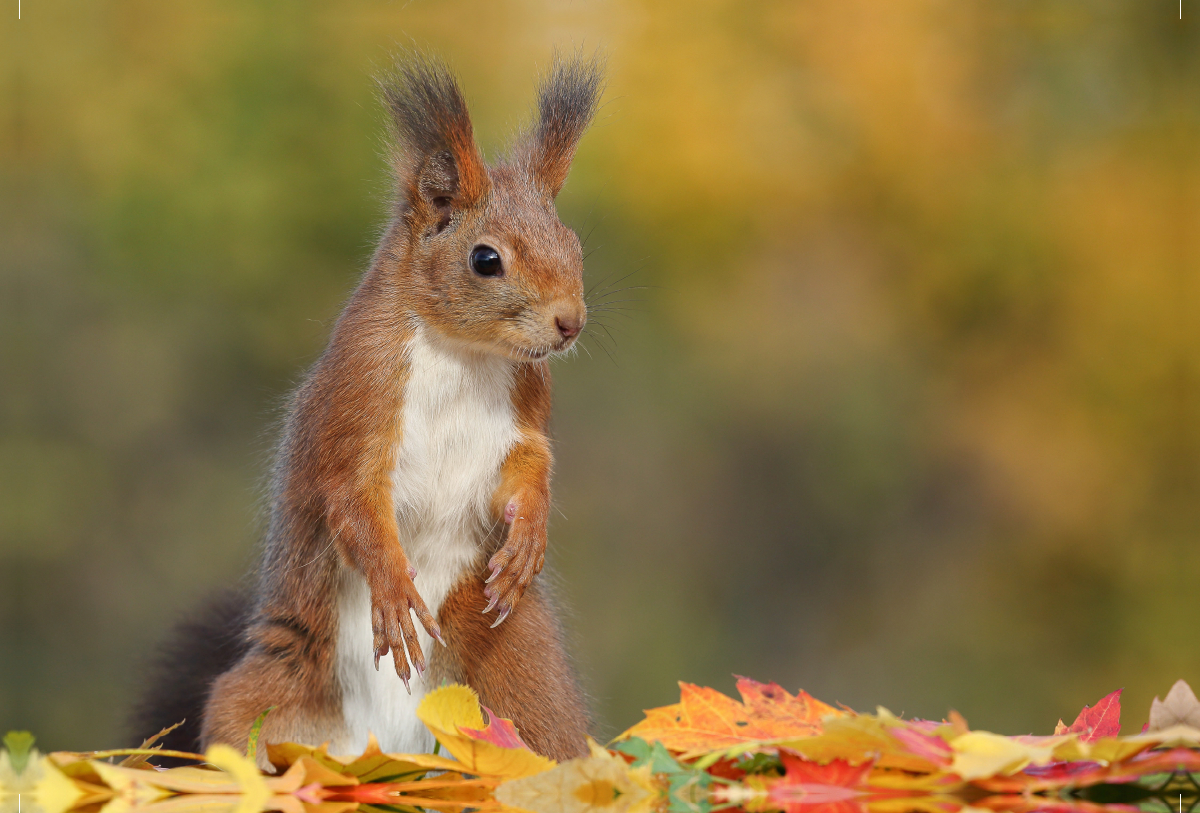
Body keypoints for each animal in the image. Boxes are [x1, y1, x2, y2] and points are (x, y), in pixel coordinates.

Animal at [133, 54, 600, 767]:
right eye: (485, 259)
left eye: (573, 247)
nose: (569, 323)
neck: (464, 355)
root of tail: (388, 751)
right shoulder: (358, 403)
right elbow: (353, 501)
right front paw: (394, 591)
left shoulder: (525, 412)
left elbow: (528, 467)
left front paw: (528, 535)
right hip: (269, 694)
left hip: (519, 679)